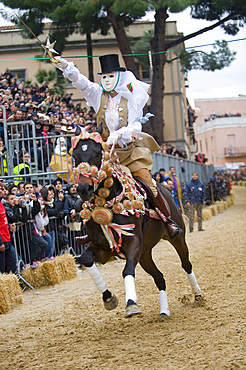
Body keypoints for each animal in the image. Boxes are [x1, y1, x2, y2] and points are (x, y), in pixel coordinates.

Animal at [72, 128, 202, 318]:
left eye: (98, 153)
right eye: (74, 155)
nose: (83, 189)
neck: (107, 203)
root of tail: (167, 190)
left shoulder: (133, 242)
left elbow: (127, 270)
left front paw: (131, 303)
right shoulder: (103, 248)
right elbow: (87, 259)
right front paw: (109, 298)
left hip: (177, 238)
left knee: (186, 264)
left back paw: (197, 294)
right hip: (145, 254)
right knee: (159, 277)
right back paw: (164, 311)